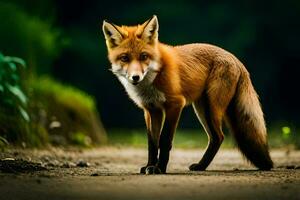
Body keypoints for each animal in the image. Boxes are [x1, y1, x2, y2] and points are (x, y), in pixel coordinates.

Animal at [102, 15, 274, 173]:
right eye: (125, 58)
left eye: (144, 56)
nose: (135, 77)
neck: (154, 76)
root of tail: (236, 59)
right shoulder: (151, 109)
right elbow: (152, 143)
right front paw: (150, 166)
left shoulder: (175, 104)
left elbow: (165, 140)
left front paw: (160, 168)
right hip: (202, 110)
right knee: (215, 138)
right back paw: (201, 166)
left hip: (211, 108)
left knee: (219, 136)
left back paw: (201, 166)